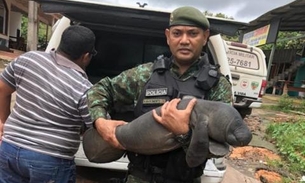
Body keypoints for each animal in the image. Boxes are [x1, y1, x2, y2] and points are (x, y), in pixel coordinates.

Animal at [82, 98, 251, 167]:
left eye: (241, 119)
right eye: (236, 123)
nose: (247, 136)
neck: (212, 112)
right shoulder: (200, 118)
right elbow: (200, 142)